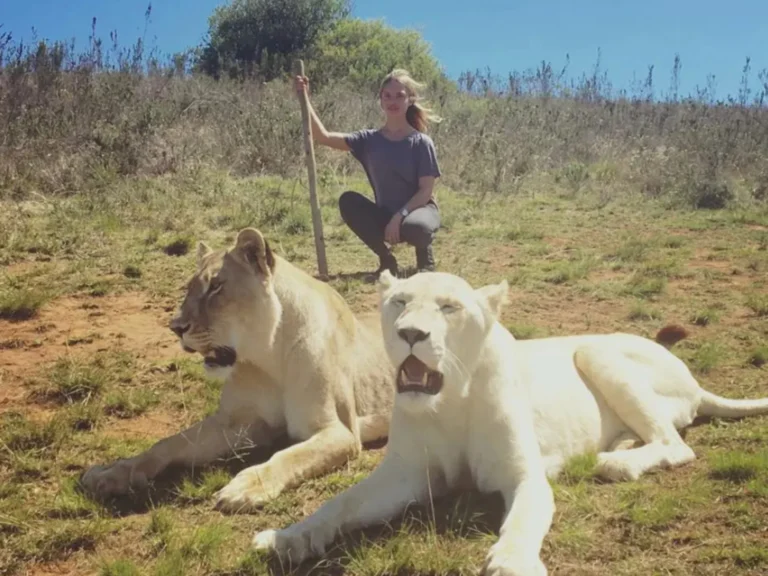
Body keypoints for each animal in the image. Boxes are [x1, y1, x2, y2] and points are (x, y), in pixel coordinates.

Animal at [255, 268, 768, 572]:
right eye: (399, 302)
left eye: (449, 307)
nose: (410, 334)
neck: (450, 399)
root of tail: (694, 380)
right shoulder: (404, 477)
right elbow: (339, 504)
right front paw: (289, 538)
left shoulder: (523, 475)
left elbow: (522, 519)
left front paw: (511, 562)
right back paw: (614, 449)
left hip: (594, 349)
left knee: (677, 445)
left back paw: (613, 463)